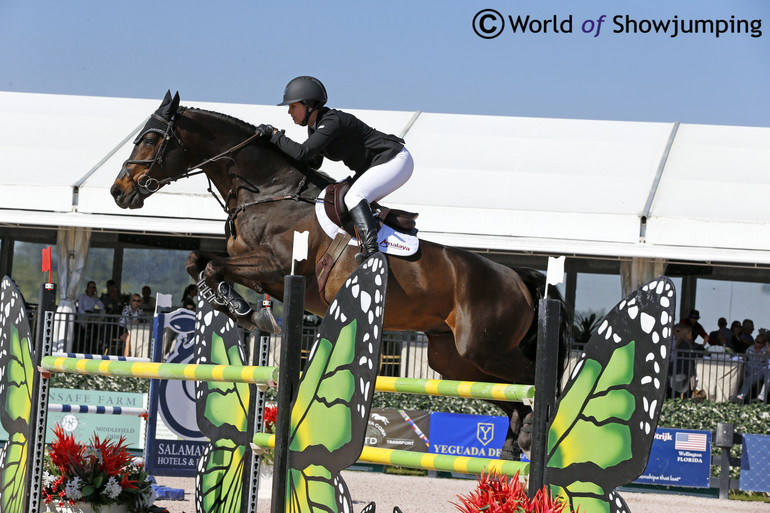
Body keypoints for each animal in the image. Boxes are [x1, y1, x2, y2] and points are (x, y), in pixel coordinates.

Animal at [108, 90, 568, 458]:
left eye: (151, 139)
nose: (119, 191)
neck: (269, 191)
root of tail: (519, 279)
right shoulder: (260, 271)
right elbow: (198, 262)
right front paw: (241, 309)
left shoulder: (277, 266)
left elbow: (215, 265)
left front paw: (246, 311)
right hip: (455, 361)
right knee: (512, 399)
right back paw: (514, 446)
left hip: (484, 348)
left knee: (536, 383)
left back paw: (536, 434)